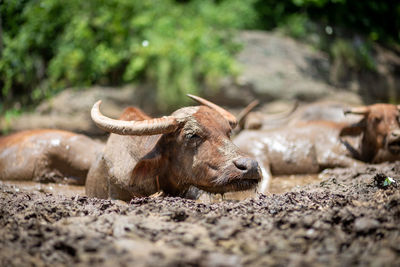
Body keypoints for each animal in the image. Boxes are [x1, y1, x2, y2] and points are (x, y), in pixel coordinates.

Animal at [234, 103, 400, 194]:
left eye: (397, 117)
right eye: (376, 118)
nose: (396, 135)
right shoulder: (326, 154)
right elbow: (358, 164)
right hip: (260, 160)